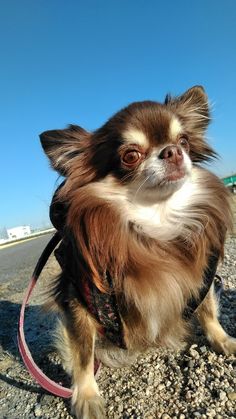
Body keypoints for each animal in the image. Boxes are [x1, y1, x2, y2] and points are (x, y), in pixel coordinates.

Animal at [39, 86, 235, 419]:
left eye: (184, 140)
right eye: (130, 156)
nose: (172, 151)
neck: (157, 220)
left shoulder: (204, 276)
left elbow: (208, 312)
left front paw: (223, 340)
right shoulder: (77, 298)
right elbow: (82, 353)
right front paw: (86, 395)